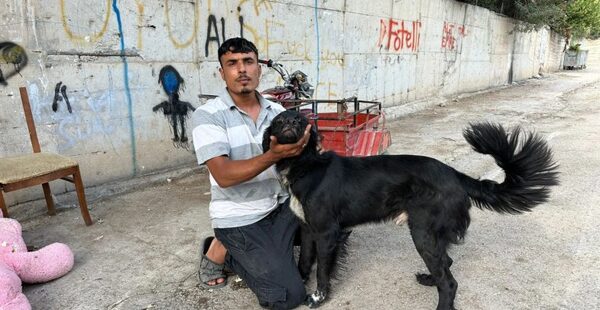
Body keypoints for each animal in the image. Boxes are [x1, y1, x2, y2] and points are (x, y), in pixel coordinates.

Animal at [262, 110, 556, 308]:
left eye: (300, 121)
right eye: (278, 120)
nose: (289, 123)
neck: (305, 166)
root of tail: (455, 175)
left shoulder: (327, 232)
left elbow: (322, 269)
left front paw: (318, 297)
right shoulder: (307, 228)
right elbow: (304, 260)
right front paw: (301, 283)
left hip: (423, 233)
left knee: (450, 282)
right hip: (431, 234)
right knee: (446, 264)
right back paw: (429, 279)